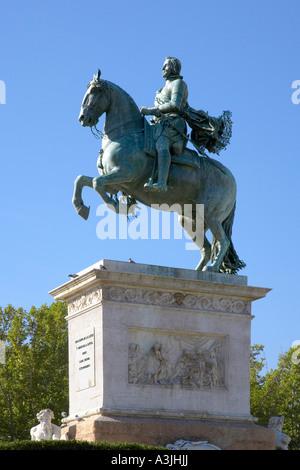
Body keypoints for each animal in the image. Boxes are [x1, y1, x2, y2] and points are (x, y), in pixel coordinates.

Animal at [73, 70, 246, 276]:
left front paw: (117, 206)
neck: (126, 134)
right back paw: (197, 273)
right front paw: (81, 207)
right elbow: (83, 180)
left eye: (95, 90)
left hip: (211, 215)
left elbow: (96, 183)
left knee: (223, 242)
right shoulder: (115, 182)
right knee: (207, 248)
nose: (83, 118)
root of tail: (231, 178)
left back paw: (212, 268)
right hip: (190, 220)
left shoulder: (125, 175)